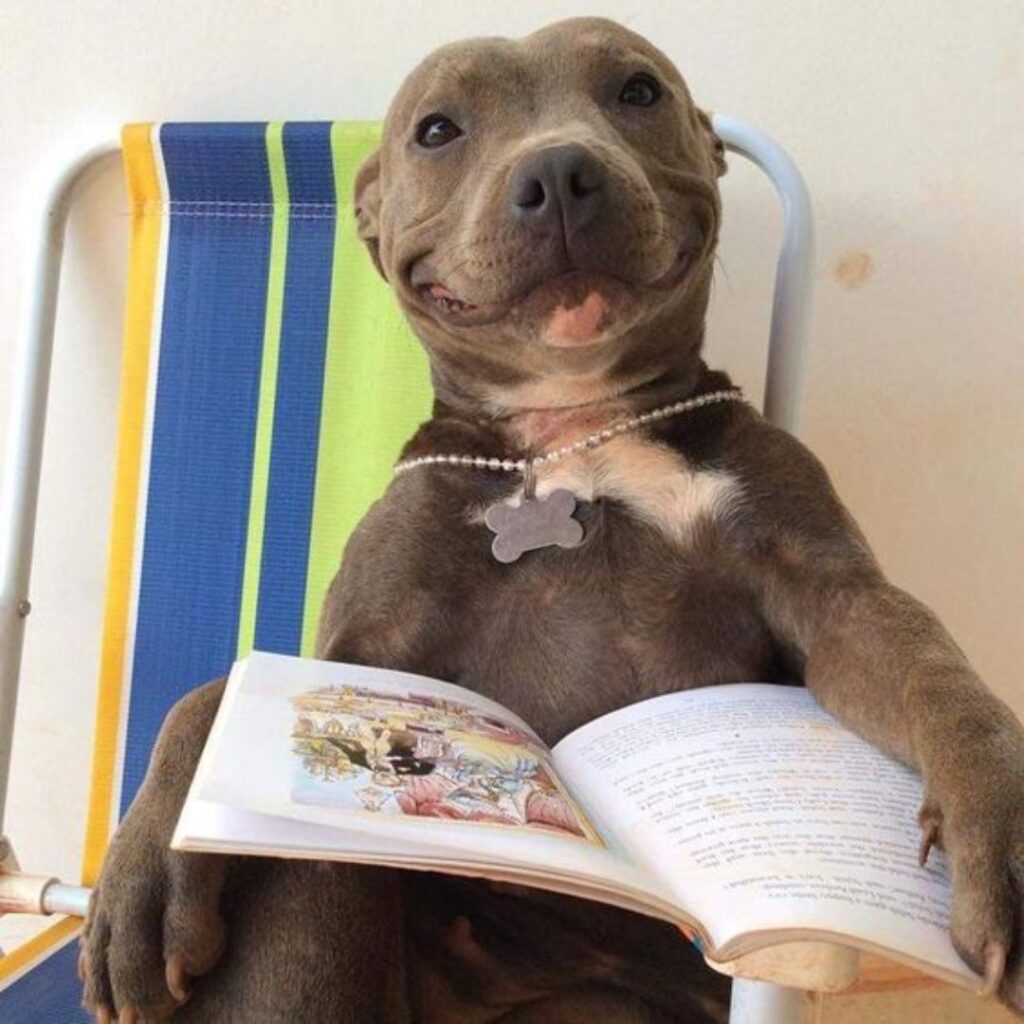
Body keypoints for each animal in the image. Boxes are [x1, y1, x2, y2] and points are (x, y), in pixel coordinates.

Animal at [79, 18, 1024, 1024]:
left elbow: (940, 678)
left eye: (639, 90)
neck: (574, 431)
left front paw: (1001, 817)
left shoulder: (835, 593)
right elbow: (213, 691)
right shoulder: (360, 640)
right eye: (438, 130)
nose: (560, 169)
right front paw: (143, 865)